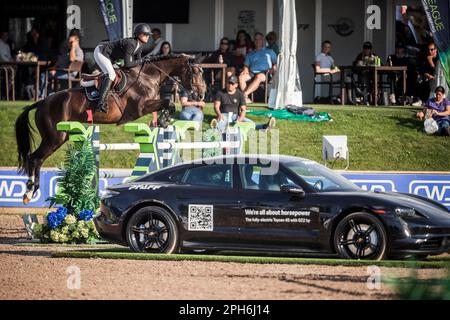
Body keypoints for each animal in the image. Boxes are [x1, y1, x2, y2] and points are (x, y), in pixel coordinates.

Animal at [14, 53, 207, 204]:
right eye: (195, 72)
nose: (200, 95)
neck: (147, 77)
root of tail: (42, 102)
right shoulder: (139, 108)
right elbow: (168, 102)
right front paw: (163, 119)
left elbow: (169, 104)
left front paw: (164, 120)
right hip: (55, 137)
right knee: (34, 158)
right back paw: (29, 192)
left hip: (60, 136)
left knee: (36, 159)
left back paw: (31, 191)